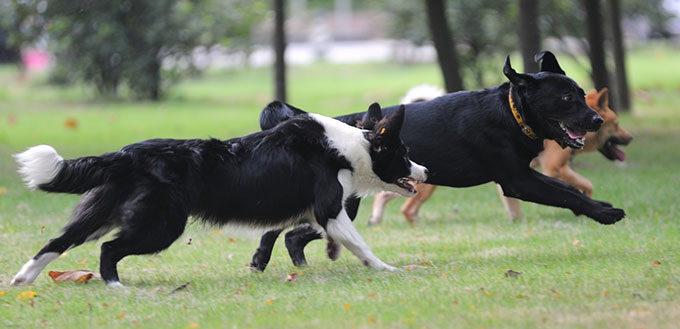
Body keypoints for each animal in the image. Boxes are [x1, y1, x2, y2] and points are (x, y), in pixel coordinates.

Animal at [9, 104, 424, 286]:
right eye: (404, 154)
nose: (425, 171)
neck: (352, 147)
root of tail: (128, 154)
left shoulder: (316, 213)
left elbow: (297, 235)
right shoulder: (329, 210)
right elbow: (360, 243)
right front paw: (386, 269)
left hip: (102, 213)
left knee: (58, 241)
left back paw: (22, 279)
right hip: (161, 225)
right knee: (109, 249)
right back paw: (115, 287)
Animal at [366, 88, 632, 224]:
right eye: (616, 124)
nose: (629, 137)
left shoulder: (521, 174)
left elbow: (568, 189)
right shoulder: (542, 172)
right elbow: (580, 187)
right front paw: (599, 211)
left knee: (389, 196)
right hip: (425, 182)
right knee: (404, 205)